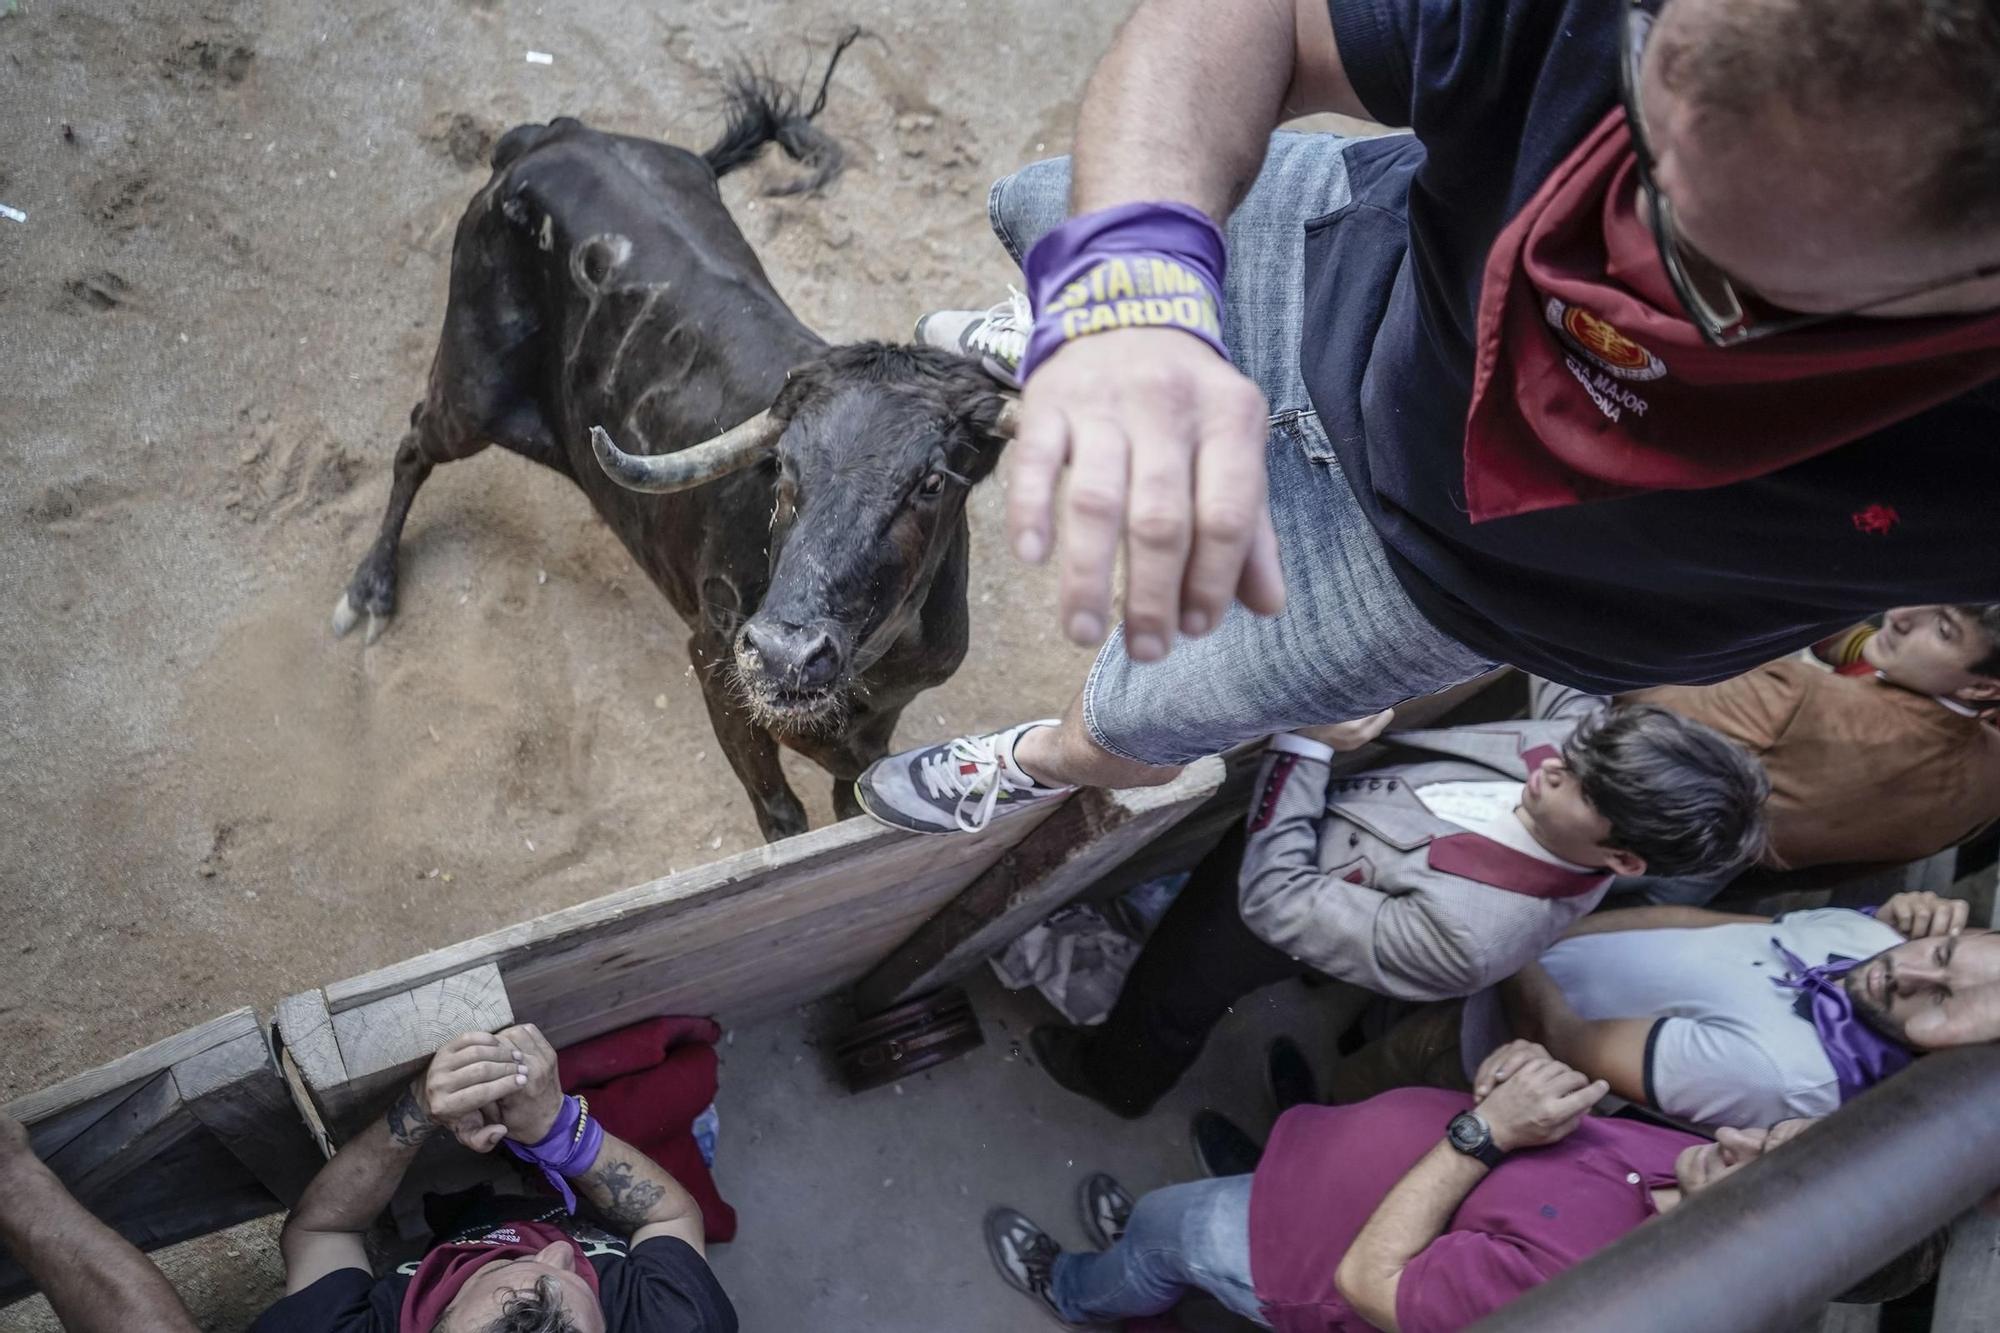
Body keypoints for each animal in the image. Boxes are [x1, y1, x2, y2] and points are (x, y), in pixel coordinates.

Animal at [338, 104, 1016, 836]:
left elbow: (850, 800)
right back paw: (370, 591)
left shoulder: (879, 723)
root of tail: (550, 135)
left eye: (932, 482)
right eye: (783, 468)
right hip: (472, 387)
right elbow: (781, 814)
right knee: (414, 442)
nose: (783, 653)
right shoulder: (717, 666)